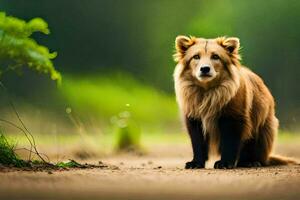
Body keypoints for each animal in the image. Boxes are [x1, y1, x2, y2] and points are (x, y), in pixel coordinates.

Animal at [172, 35, 296, 169]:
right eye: (196, 56)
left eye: (215, 56)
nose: (205, 68)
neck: (207, 91)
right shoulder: (194, 113)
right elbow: (197, 141)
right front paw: (195, 163)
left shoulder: (233, 114)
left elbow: (230, 141)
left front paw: (224, 163)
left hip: (263, 124)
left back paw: (249, 161)